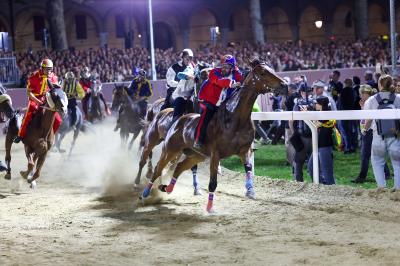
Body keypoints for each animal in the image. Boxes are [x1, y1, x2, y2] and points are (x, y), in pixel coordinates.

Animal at [141, 59, 288, 213]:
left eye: (271, 69)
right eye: (262, 72)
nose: (284, 85)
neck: (235, 118)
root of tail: (177, 120)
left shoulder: (244, 150)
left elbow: (248, 168)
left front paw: (250, 190)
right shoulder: (215, 154)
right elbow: (213, 183)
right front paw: (210, 208)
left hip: (196, 155)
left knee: (180, 166)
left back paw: (167, 188)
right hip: (169, 149)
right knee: (157, 168)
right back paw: (145, 193)